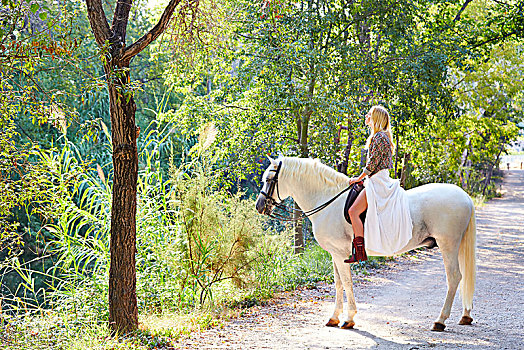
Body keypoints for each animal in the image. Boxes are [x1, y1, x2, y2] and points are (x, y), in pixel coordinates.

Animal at [256, 156, 476, 330]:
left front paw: (349, 319)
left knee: (454, 277)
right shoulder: (335, 253)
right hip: (455, 246)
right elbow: (338, 283)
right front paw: (334, 317)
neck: (328, 200)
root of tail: (465, 197)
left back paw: (440, 320)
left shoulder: (339, 254)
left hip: (448, 245)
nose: (259, 206)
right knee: (463, 276)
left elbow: (346, 282)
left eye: (268, 180)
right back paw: (465, 316)